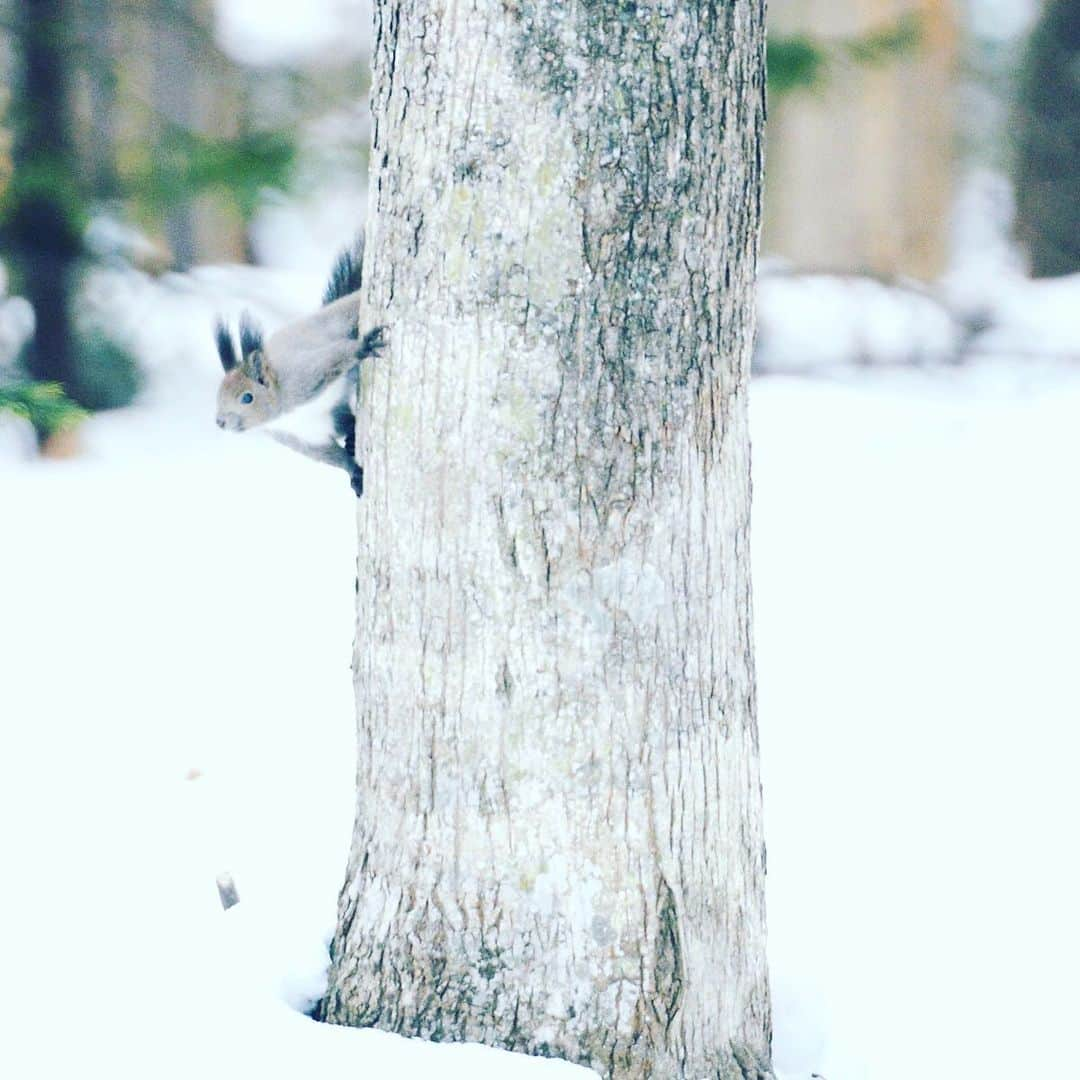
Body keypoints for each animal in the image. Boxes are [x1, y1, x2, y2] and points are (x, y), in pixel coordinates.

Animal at [212, 232, 386, 496]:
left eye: (247, 397)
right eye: (218, 396)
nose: (220, 422)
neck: (285, 417)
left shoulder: (299, 378)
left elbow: (331, 360)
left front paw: (362, 347)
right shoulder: (302, 437)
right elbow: (327, 455)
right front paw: (353, 472)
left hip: (341, 320)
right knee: (346, 423)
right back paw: (352, 440)